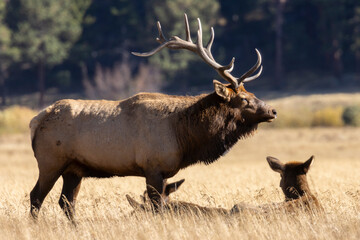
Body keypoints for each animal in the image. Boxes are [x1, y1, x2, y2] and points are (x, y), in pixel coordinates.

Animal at [29, 13, 278, 221]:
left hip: (74, 169)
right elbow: (157, 207)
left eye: (252, 93)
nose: (273, 111)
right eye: (243, 99)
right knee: (36, 197)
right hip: (50, 161)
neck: (183, 136)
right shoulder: (153, 166)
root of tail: (36, 120)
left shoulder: (166, 171)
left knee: (67, 202)